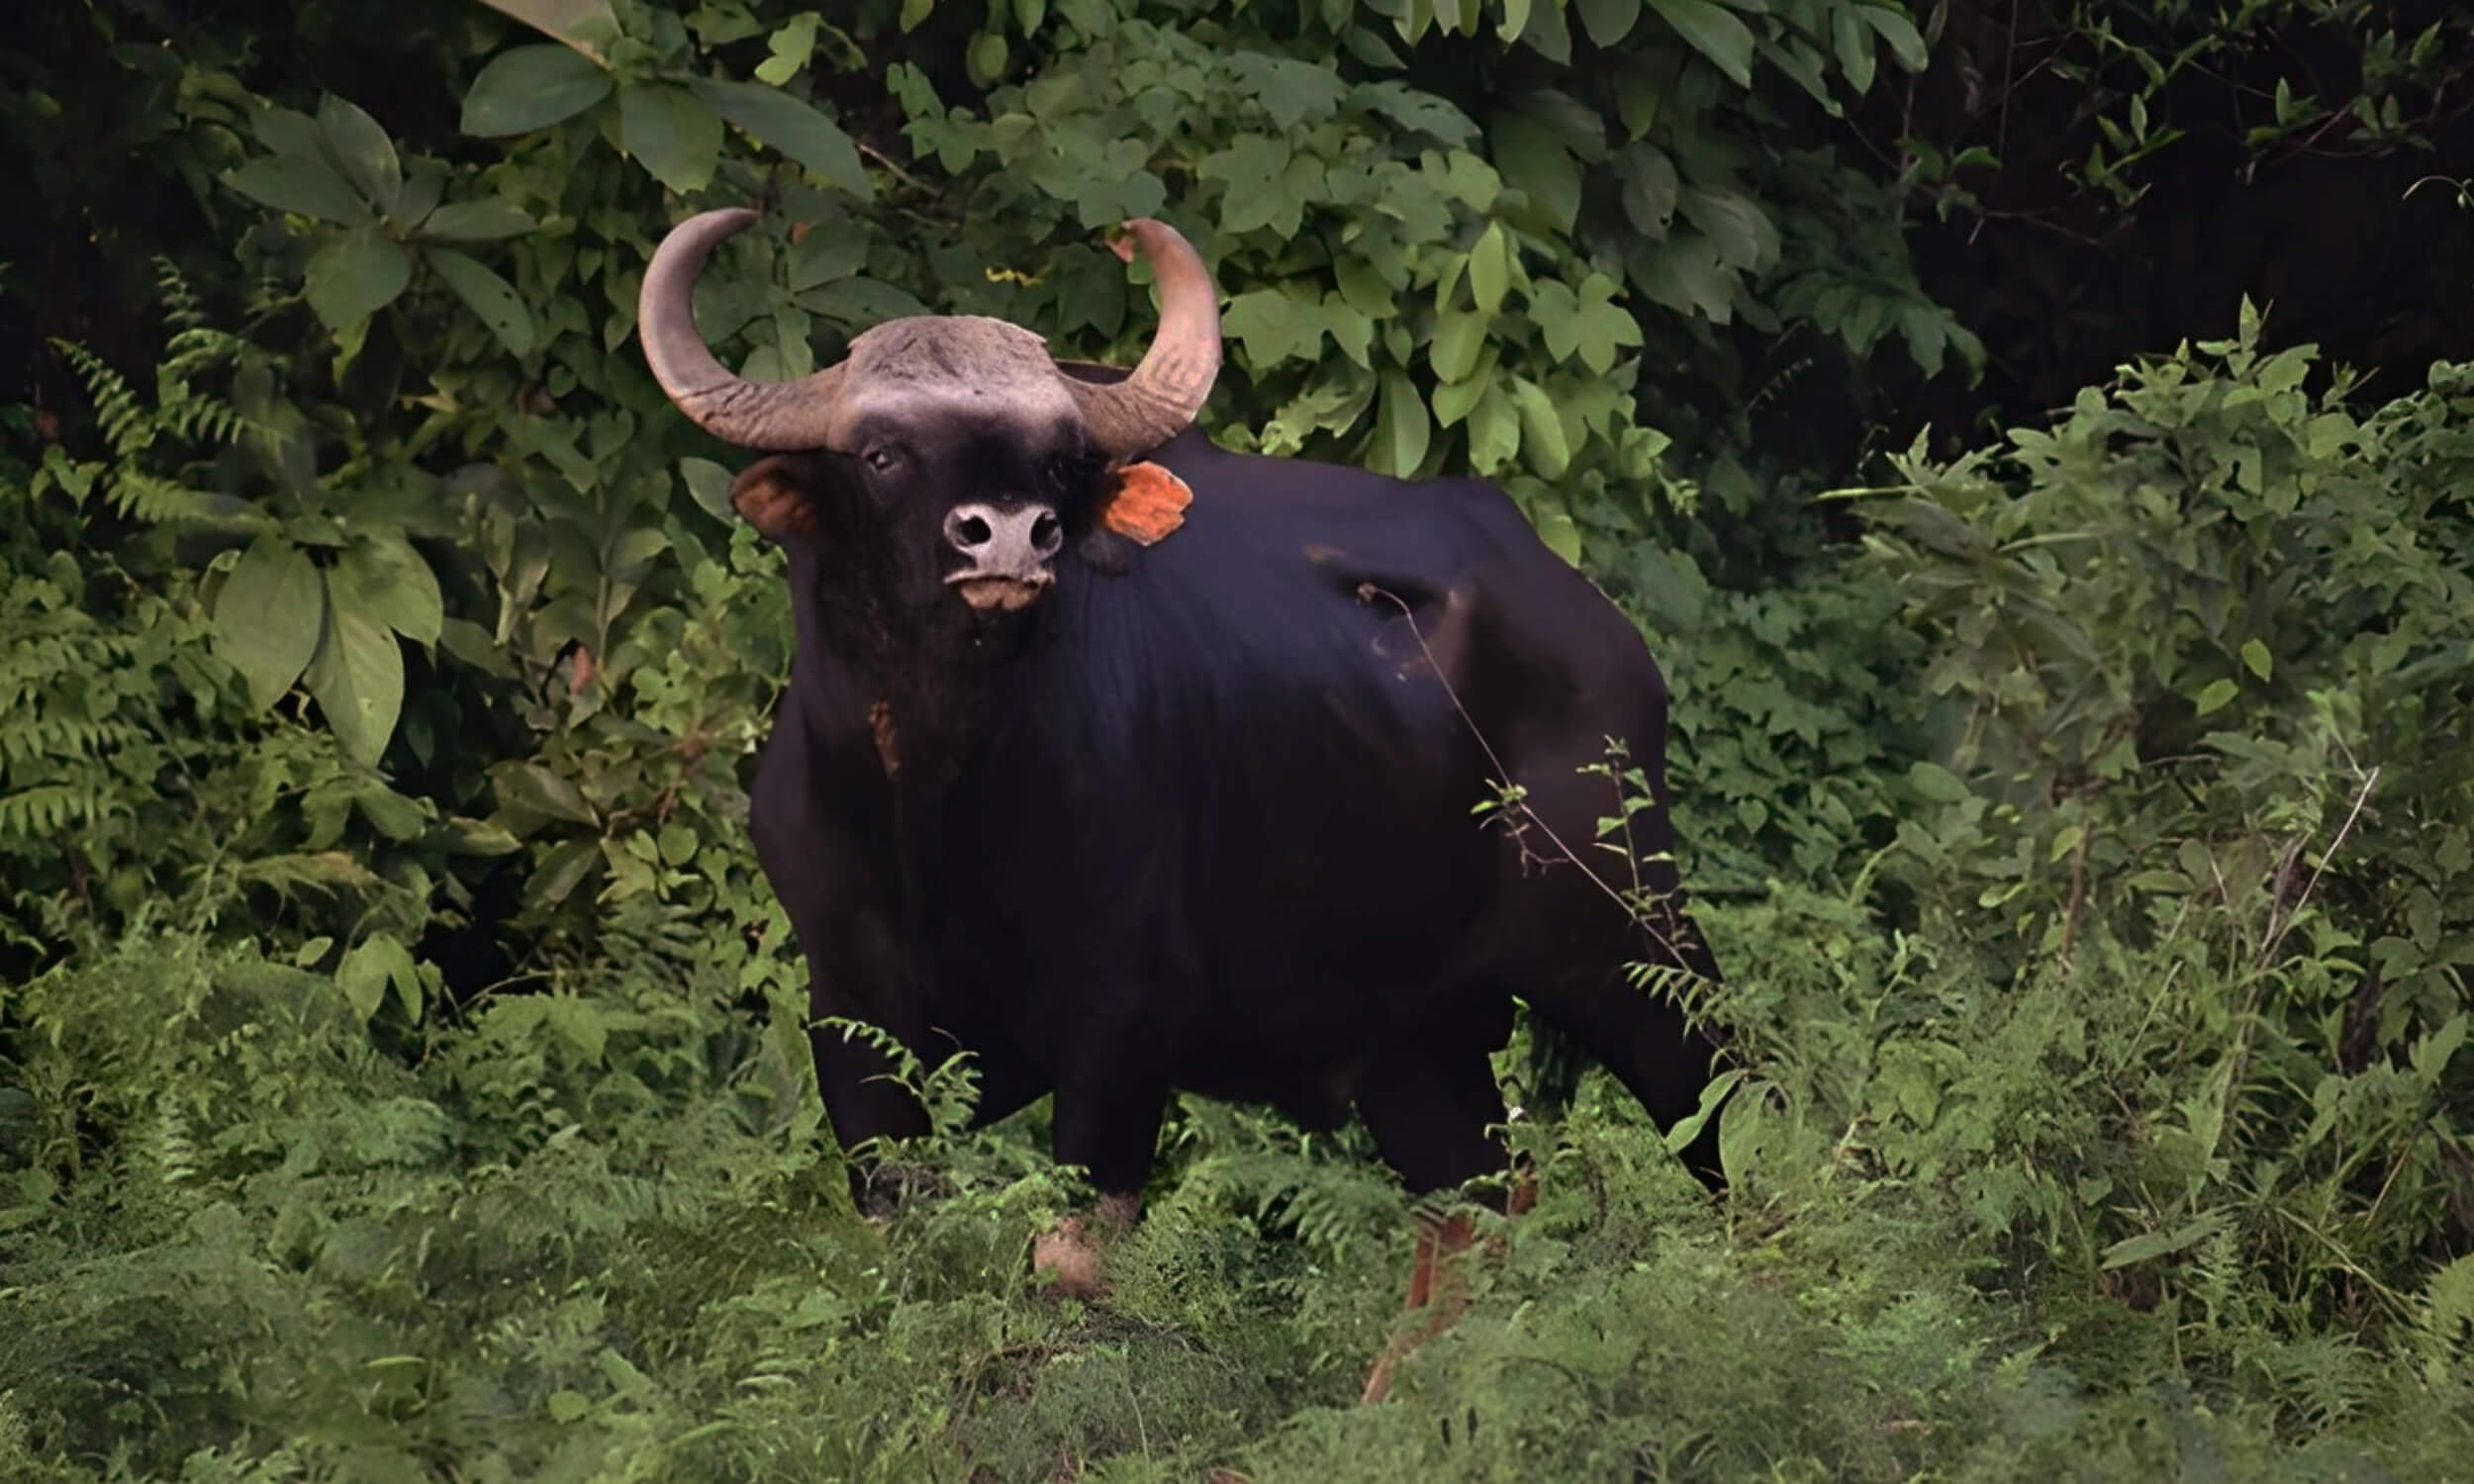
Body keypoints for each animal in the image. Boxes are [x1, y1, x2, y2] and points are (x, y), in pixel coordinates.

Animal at [637, 207, 1730, 1392]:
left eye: (1059, 460)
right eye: (882, 455)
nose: (1011, 536)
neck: (943, 810)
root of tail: (1601, 633)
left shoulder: (1121, 1024)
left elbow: (1067, 1259)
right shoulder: (851, 1017)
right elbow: (910, 1249)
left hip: (1622, 934)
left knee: (1721, 1105)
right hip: (1415, 1026)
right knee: (1474, 1197)